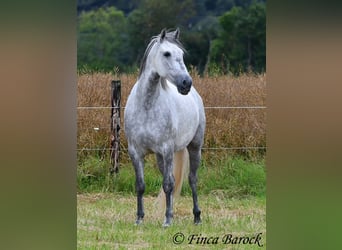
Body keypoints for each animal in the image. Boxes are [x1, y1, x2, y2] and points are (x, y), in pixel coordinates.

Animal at [125, 28, 206, 227]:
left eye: (182, 55)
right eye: (166, 53)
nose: (186, 83)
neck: (146, 105)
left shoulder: (167, 149)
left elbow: (168, 185)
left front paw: (168, 220)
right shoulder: (135, 152)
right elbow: (140, 185)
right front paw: (139, 218)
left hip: (194, 147)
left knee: (192, 179)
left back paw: (197, 216)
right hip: (160, 157)